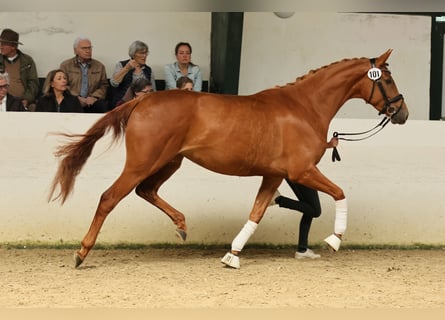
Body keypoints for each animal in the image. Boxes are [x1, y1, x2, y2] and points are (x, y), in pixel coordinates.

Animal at [47, 49, 406, 268]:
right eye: (387, 79)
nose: (402, 112)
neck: (305, 107)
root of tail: (141, 101)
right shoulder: (302, 171)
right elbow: (340, 193)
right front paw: (334, 239)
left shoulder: (273, 175)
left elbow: (257, 213)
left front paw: (232, 255)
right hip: (143, 163)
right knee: (110, 198)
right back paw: (81, 253)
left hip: (169, 162)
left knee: (146, 191)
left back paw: (181, 226)